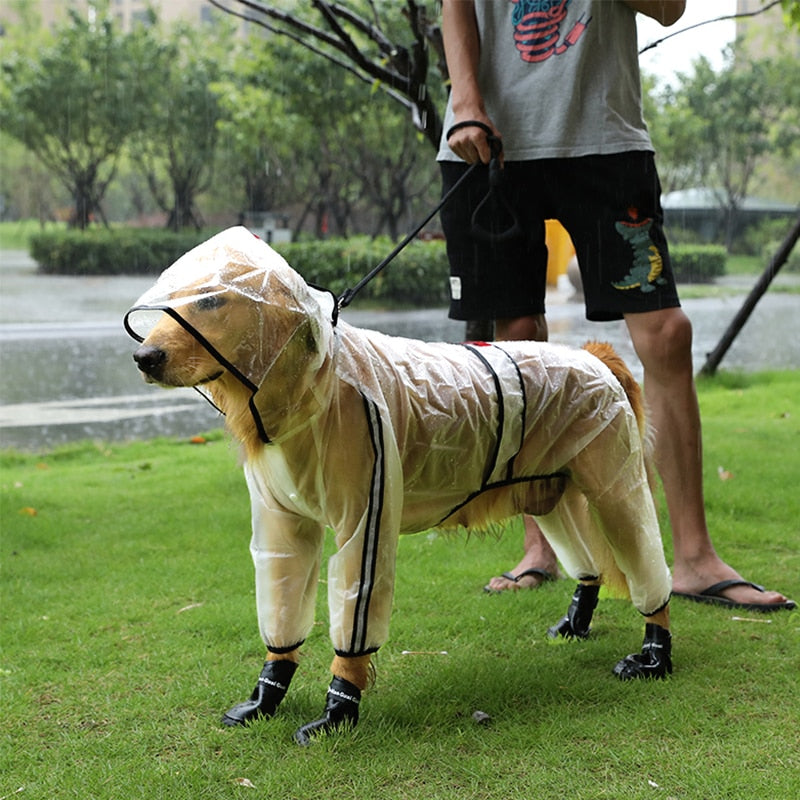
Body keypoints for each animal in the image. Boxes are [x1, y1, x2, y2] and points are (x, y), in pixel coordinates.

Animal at [126, 223, 676, 744]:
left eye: (211, 300)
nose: (144, 357)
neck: (314, 381)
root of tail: (595, 356)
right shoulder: (283, 526)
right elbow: (281, 615)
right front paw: (266, 695)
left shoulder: (363, 519)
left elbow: (354, 622)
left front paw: (337, 712)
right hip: (550, 494)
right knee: (590, 567)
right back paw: (576, 622)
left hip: (615, 489)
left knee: (648, 567)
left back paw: (654, 653)